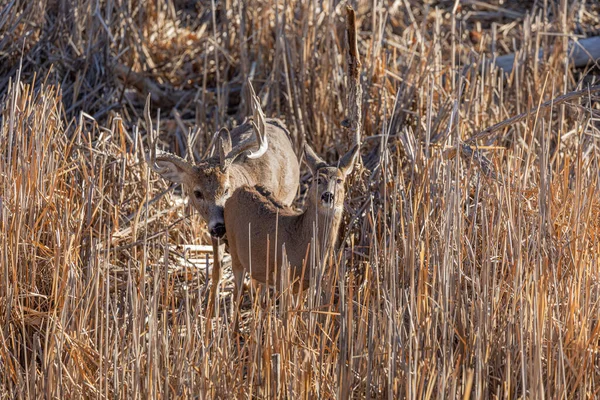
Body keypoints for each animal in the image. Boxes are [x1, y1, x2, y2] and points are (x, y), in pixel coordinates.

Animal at [224, 144, 356, 328]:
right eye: (318, 179)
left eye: (339, 180)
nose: (328, 195)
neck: (300, 239)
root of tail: (236, 192)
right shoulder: (284, 278)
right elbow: (287, 319)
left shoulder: (304, 284)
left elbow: (299, 315)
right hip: (236, 254)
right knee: (238, 293)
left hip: (260, 268)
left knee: (257, 294)